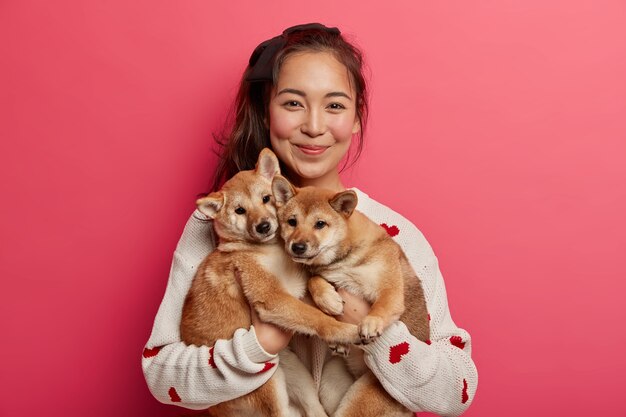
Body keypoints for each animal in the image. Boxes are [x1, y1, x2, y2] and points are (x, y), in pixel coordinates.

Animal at [179, 148, 360, 414]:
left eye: (266, 199)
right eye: (240, 211)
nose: (263, 226)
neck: (271, 251)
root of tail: (215, 407)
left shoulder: (296, 285)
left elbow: (314, 283)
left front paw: (330, 300)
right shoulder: (273, 297)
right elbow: (315, 318)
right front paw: (344, 331)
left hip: (296, 374)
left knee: (313, 408)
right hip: (268, 384)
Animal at [270, 175, 432, 416]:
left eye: (320, 224)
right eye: (292, 221)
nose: (297, 247)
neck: (345, 260)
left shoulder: (389, 289)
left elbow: (382, 306)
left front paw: (371, 323)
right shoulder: (324, 275)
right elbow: (314, 281)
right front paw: (330, 301)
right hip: (330, 383)